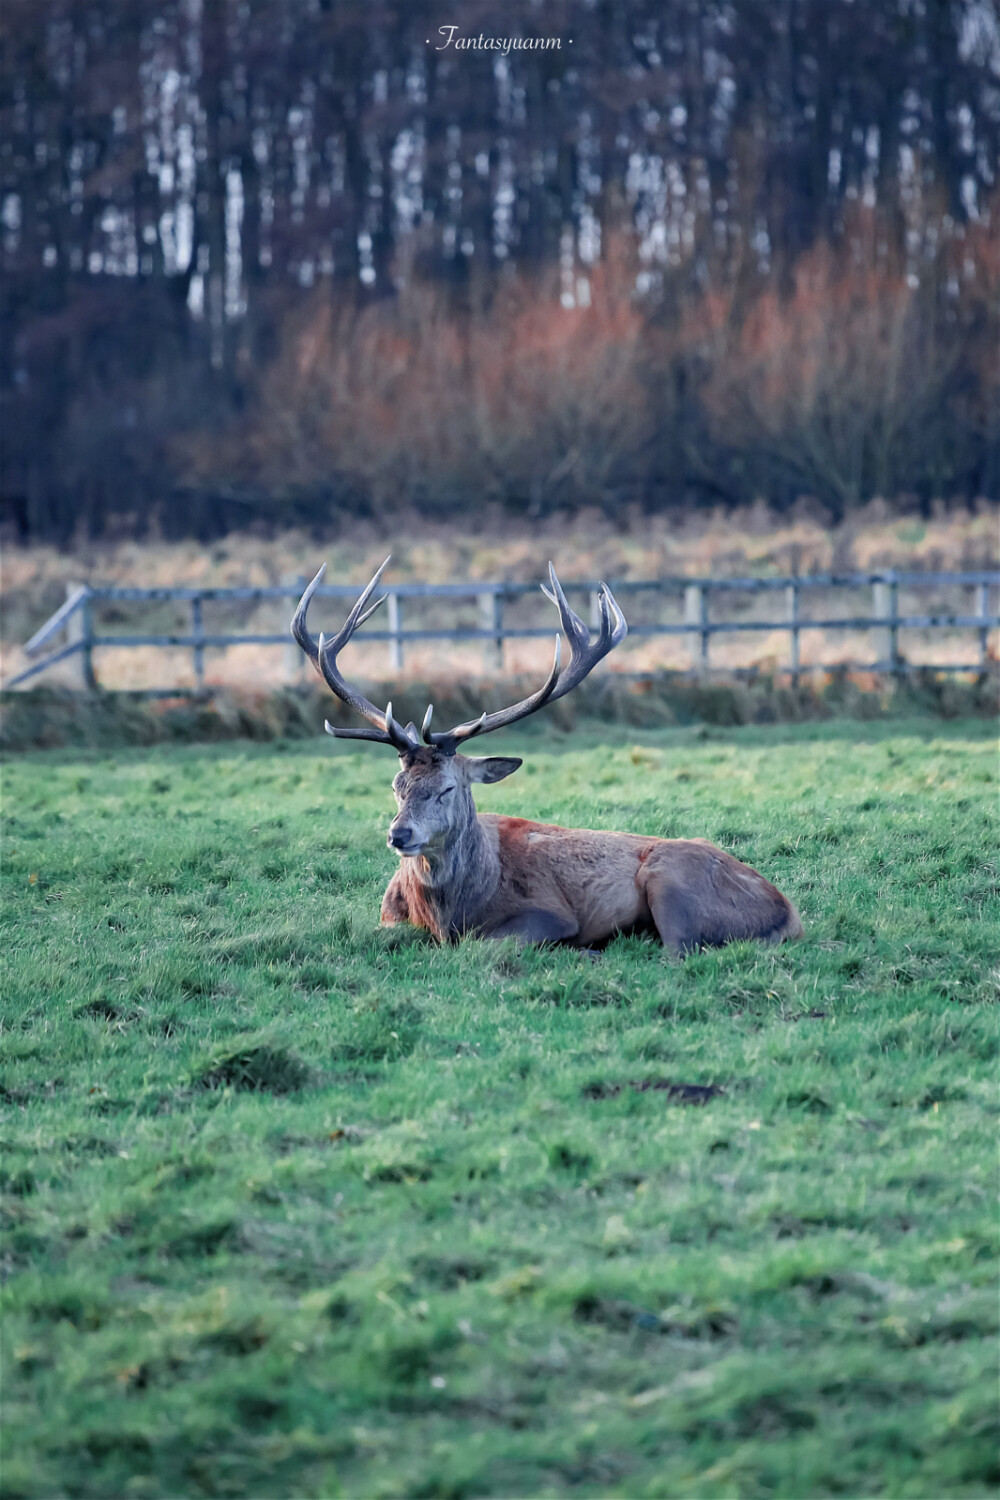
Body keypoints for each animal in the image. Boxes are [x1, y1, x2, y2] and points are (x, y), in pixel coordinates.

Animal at [290, 558, 803, 954]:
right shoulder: (387, 918)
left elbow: (485, 945)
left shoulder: (548, 914)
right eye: (397, 786)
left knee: (679, 951)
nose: (400, 834)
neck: (447, 914)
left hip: (672, 881)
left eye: (448, 788)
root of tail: (790, 914)